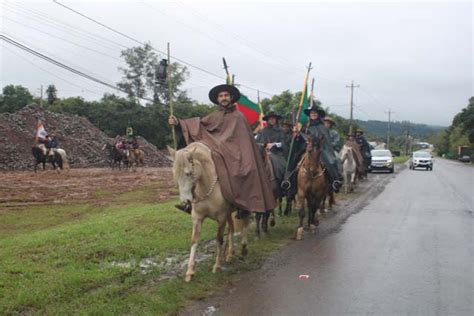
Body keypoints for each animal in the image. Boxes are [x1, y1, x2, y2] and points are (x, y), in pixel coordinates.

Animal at [167, 142, 250, 282]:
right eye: (174, 174)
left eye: (188, 173)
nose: (185, 202)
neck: (207, 186)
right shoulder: (197, 218)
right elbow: (194, 241)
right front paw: (190, 271)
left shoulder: (221, 218)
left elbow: (219, 239)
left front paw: (217, 266)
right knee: (231, 229)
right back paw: (229, 254)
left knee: (245, 222)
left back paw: (243, 248)